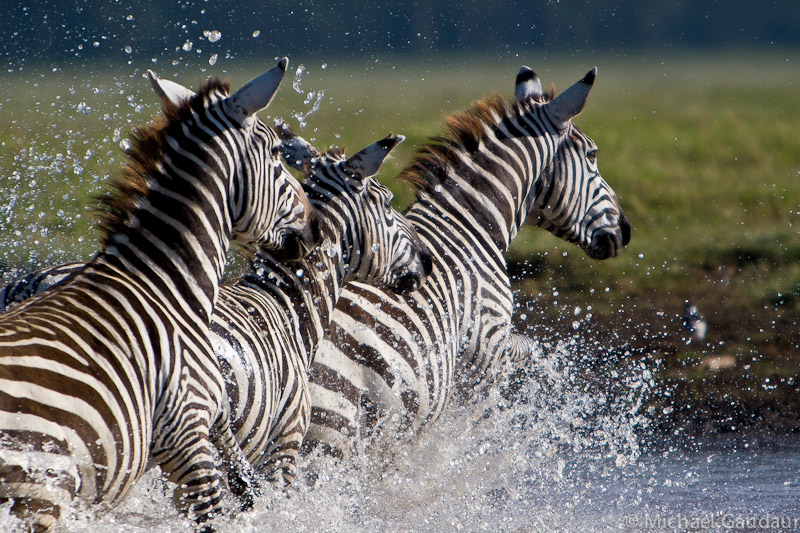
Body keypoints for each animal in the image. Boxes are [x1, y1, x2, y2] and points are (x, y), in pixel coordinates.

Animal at [0, 58, 318, 528]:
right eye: (277, 154)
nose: (315, 226)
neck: (167, 284)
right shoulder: (186, 433)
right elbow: (212, 511)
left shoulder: (212, 414)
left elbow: (240, 470)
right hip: (39, 488)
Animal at [306, 65, 632, 458]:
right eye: (593, 155)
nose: (626, 230)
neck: (470, 226)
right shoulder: (486, 347)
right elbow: (520, 353)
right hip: (330, 428)